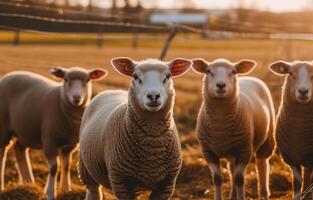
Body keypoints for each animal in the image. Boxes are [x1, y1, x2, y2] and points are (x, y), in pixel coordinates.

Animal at [0, 66, 106, 199]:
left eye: (87, 80)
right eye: (66, 79)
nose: (76, 97)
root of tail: (7, 76)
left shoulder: (69, 145)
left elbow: (66, 166)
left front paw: (66, 189)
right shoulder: (50, 142)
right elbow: (54, 168)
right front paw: (50, 193)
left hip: (24, 130)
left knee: (19, 149)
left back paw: (28, 182)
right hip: (4, 127)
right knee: (3, 153)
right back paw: (3, 185)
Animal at [78, 57, 190, 199]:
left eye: (168, 76)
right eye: (135, 76)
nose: (153, 96)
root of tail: (113, 91)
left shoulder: (167, 184)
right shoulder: (121, 182)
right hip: (86, 168)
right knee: (93, 190)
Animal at [191, 58, 274, 200]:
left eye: (233, 72)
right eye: (208, 71)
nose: (221, 85)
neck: (220, 128)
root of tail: (250, 77)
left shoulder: (244, 149)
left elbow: (239, 179)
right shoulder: (208, 151)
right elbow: (217, 178)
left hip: (267, 137)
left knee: (262, 163)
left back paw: (264, 193)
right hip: (231, 151)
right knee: (232, 169)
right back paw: (233, 195)